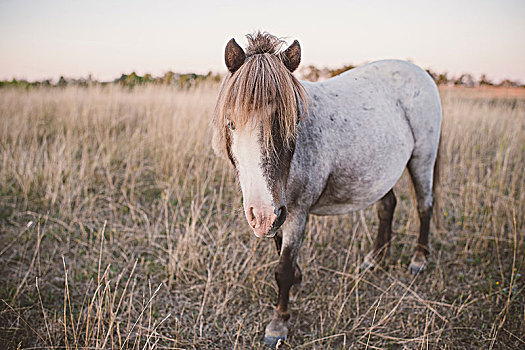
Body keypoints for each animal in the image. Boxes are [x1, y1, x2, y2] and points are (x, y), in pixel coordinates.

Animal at [211, 32, 440, 348]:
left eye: (292, 122)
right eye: (231, 123)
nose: (262, 215)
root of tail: (420, 71)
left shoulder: (295, 212)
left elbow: (282, 269)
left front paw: (279, 323)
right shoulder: (280, 212)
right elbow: (280, 251)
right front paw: (297, 282)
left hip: (423, 158)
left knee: (424, 205)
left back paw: (419, 259)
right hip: (380, 172)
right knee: (387, 207)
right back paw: (375, 259)